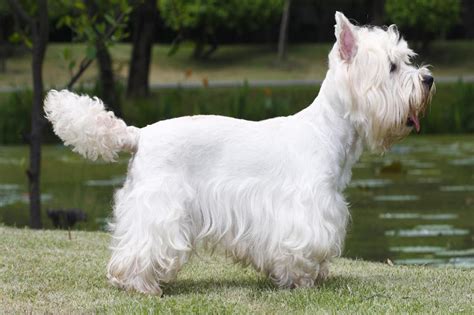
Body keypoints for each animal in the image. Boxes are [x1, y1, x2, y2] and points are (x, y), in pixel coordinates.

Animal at [44, 12, 434, 296]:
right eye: (392, 67)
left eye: (406, 61)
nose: (429, 80)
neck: (327, 129)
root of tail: (140, 135)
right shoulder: (304, 211)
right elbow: (302, 249)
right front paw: (304, 282)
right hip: (160, 206)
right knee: (141, 247)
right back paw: (142, 285)